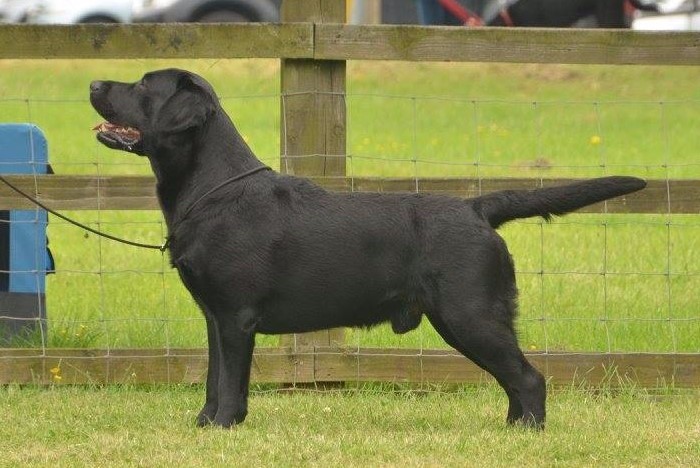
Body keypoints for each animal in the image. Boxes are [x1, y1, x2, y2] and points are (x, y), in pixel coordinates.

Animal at [90, 67, 648, 430]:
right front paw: (205, 423)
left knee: (529, 379)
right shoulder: (215, 316)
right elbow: (212, 378)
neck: (213, 189)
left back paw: (524, 433)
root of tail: (476, 208)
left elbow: (230, 382)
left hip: (469, 314)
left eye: (143, 85)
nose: (94, 84)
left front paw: (225, 425)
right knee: (517, 380)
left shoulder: (236, 318)